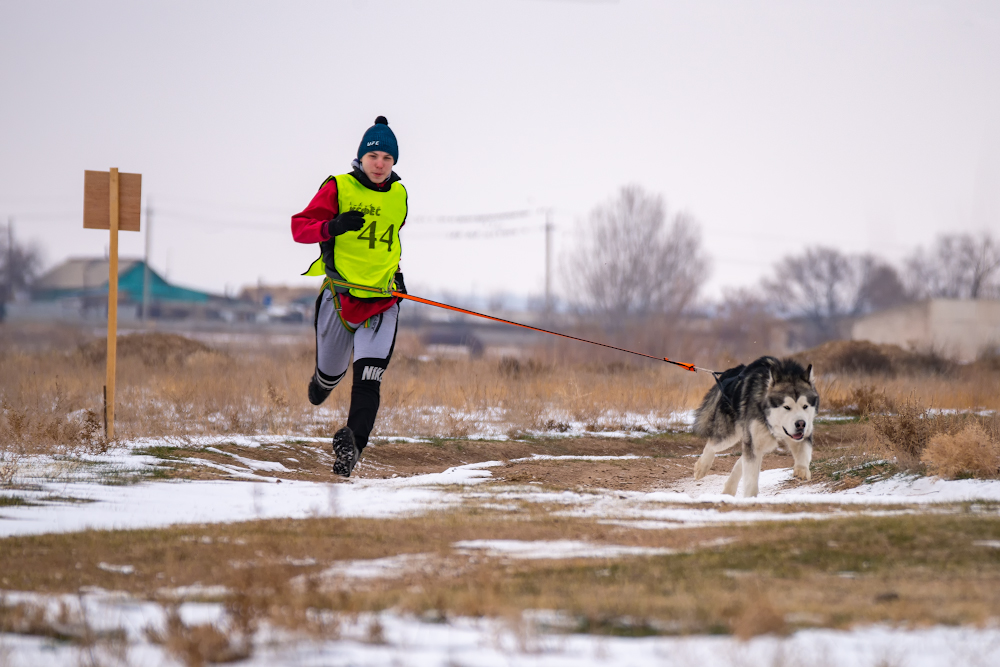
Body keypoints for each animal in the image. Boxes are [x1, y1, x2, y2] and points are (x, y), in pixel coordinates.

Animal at [692, 358, 816, 498]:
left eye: (805, 406)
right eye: (787, 407)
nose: (801, 424)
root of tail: (734, 371)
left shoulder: (803, 433)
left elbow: (804, 451)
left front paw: (802, 470)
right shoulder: (754, 441)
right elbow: (750, 478)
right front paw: (750, 498)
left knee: (740, 460)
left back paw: (729, 488)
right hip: (731, 435)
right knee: (712, 445)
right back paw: (701, 468)